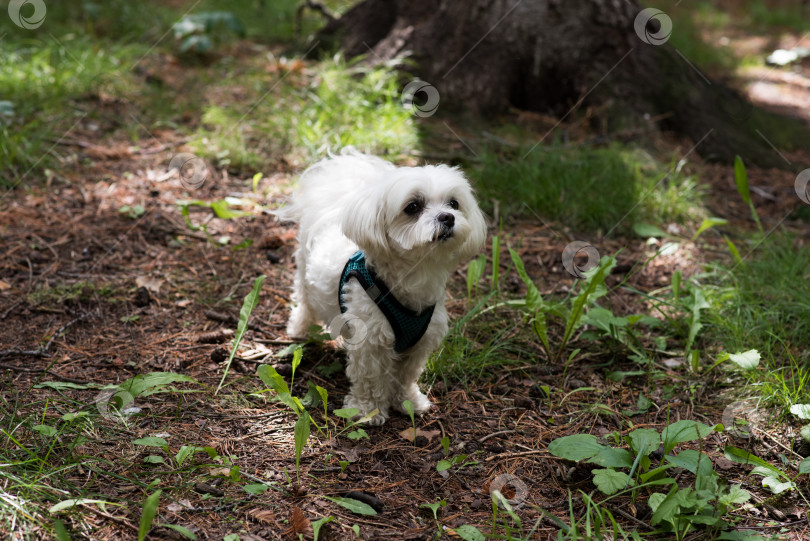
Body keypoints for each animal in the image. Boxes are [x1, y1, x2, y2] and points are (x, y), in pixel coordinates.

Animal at [284, 150, 486, 424]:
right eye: (413, 207)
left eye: (454, 204)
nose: (448, 217)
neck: (413, 276)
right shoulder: (370, 341)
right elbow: (370, 379)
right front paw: (367, 410)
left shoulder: (420, 342)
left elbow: (405, 375)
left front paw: (407, 401)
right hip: (304, 271)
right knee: (304, 301)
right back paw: (300, 329)